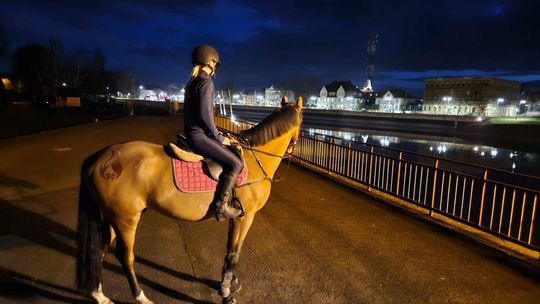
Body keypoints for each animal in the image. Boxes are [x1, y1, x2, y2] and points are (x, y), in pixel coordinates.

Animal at [76, 96, 304, 302]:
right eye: (301, 121)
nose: (293, 148)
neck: (254, 158)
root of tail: (101, 159)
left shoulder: (234, 217)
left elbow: (229, 248)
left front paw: (228, 282)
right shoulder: (245, 216)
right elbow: (234, 253)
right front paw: (226, 292)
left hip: (111, 217)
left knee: (100, 251)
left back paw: (98, 295)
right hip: (126, 219)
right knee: (125, 256)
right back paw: (140, 297)